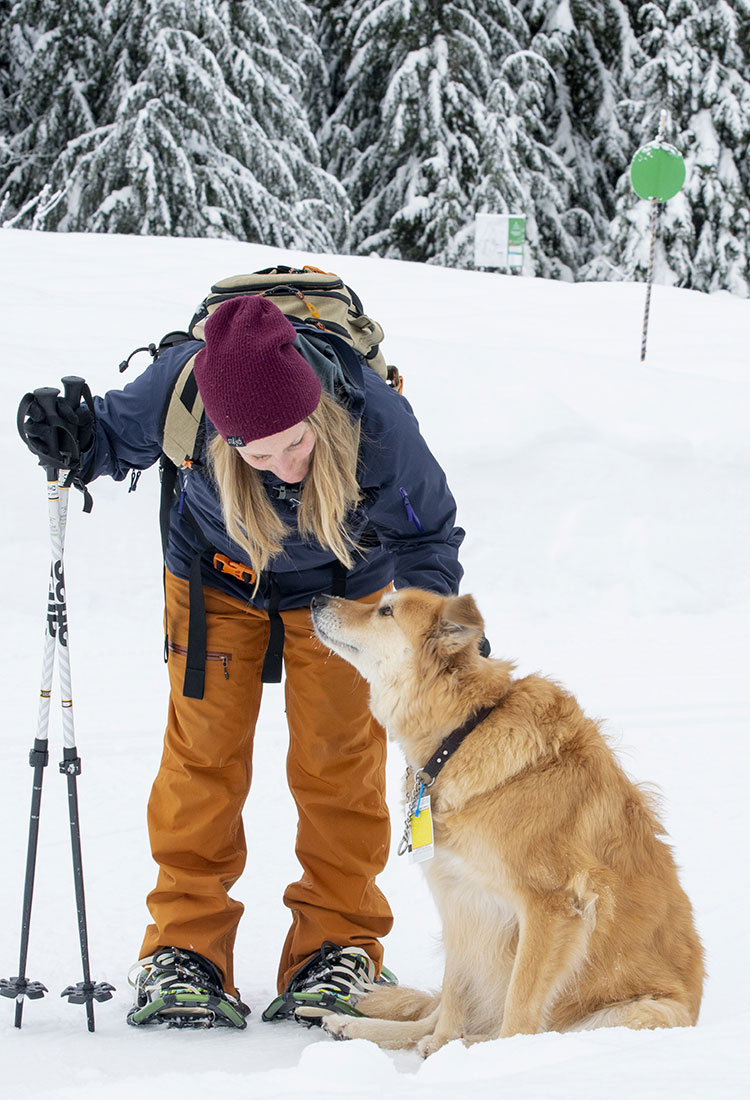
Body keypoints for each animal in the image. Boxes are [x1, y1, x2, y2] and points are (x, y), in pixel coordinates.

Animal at [307, 585, 699, 1056]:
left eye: (385, 611)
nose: (316, 599)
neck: (462, 735)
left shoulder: (552, 905)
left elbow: (520, 1006)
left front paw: (493, 1060)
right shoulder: (459, 900)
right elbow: (453, 998)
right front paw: (441, 1046)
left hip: (642, 1013)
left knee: (531, 1029)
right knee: (433, 1016)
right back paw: (360, 1028)